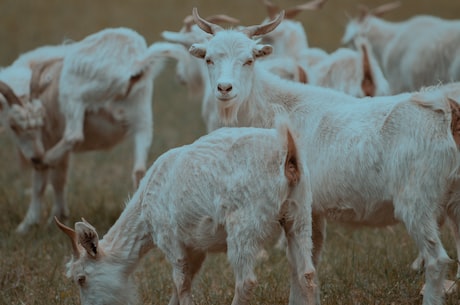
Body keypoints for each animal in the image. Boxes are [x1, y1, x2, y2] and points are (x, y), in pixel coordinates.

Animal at [55, 118, 316, 304]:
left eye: (81, 278)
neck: (146, 207)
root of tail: (288, 154)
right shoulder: (195, 247)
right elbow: (182, 283)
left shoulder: (169, 239)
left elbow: (181, 283)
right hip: (300, 215)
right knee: (307, 273)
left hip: (244, 226)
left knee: (246, 281)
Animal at [189, 8, 460, 302]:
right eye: (209, 59)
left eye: (249, 60)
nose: (225, 89)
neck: (277, 110)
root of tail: (447, 111)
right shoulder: (311, 210)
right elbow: (308, 263)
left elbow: (300, 263)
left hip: (416, 200)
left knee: (437, 260)